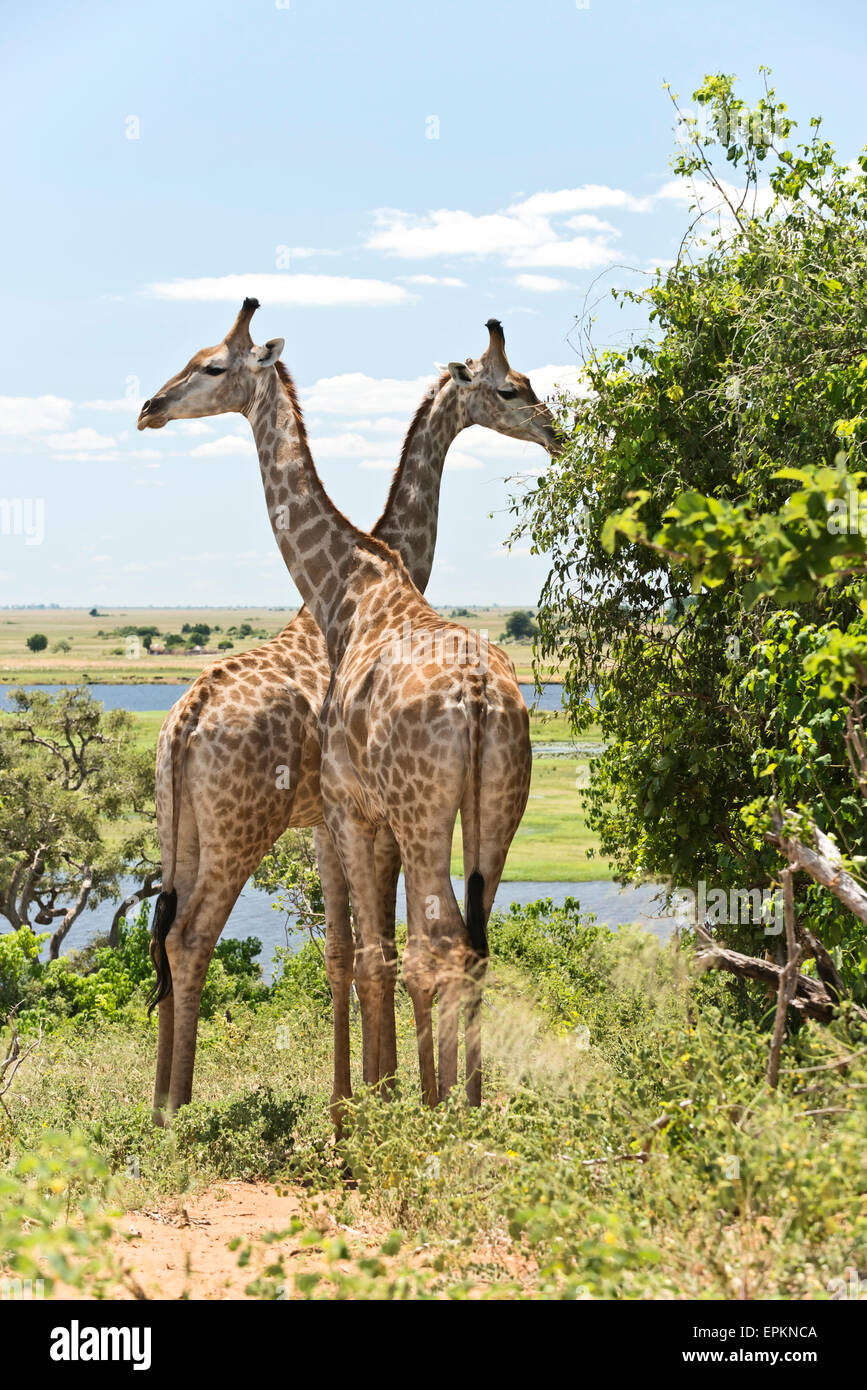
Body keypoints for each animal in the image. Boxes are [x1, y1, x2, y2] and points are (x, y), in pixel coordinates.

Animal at [138, 301, 557, 1122]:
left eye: (211, 366)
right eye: (512, 388)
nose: (150, 408)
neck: (358, 577)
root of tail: (184, 718)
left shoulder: (346, 814)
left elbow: (365, 955)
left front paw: (366, 1104)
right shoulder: (345, 816)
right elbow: (363, 955)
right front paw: (368, 1100)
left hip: (238, 827)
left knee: (188, 936)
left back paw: (175, 1110)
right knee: (461, 942)